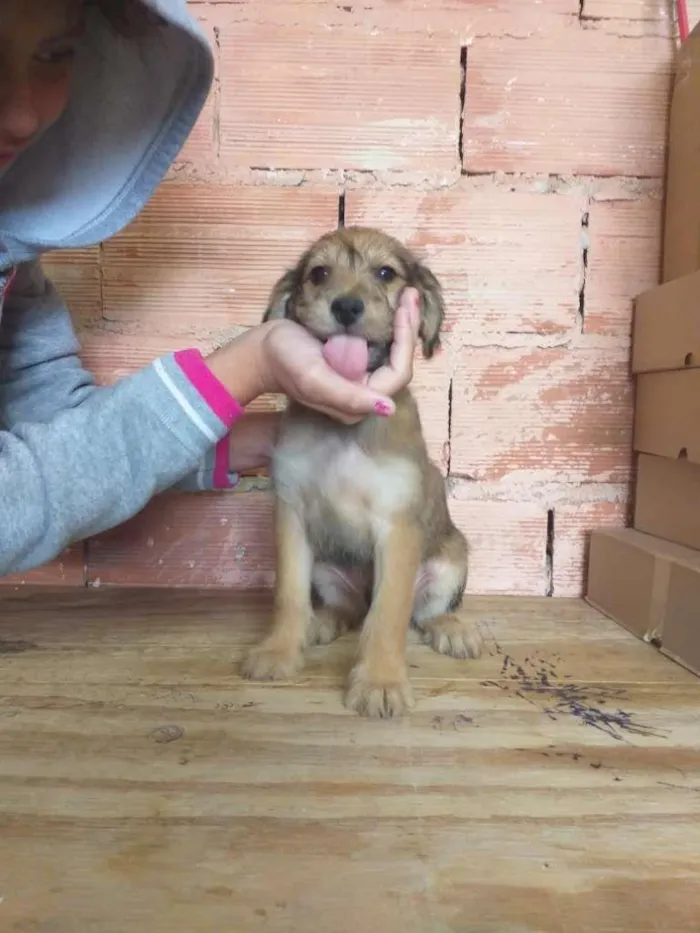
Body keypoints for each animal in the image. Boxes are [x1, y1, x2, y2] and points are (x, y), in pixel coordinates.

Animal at [241, 228, 482, 720]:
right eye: (319, 274)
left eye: (386, 273)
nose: (347, 307)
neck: (342, 432)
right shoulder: (291, 514)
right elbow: (287, 595)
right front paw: (278, 650)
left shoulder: (398, 527)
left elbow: (388, 614)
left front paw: (380, 682)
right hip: (326, 569)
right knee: (348, 607)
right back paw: (320, 622)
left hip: (452, 558)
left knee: (424, 612)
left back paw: (452, 628)